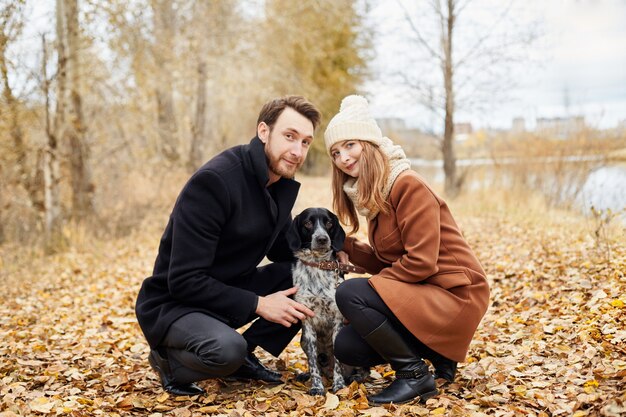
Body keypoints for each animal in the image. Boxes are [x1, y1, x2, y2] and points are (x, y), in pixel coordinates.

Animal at [286, 206, 368, 394]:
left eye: (329, 223)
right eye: (307, 223)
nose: (322, 239)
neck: (318, 265)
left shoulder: (337, 320)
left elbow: (338, 363)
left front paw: (339, 385)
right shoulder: (307, 322)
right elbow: (313, 364)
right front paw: (316, 387)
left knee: (362, 370)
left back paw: (354, 378)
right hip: (303, 341)